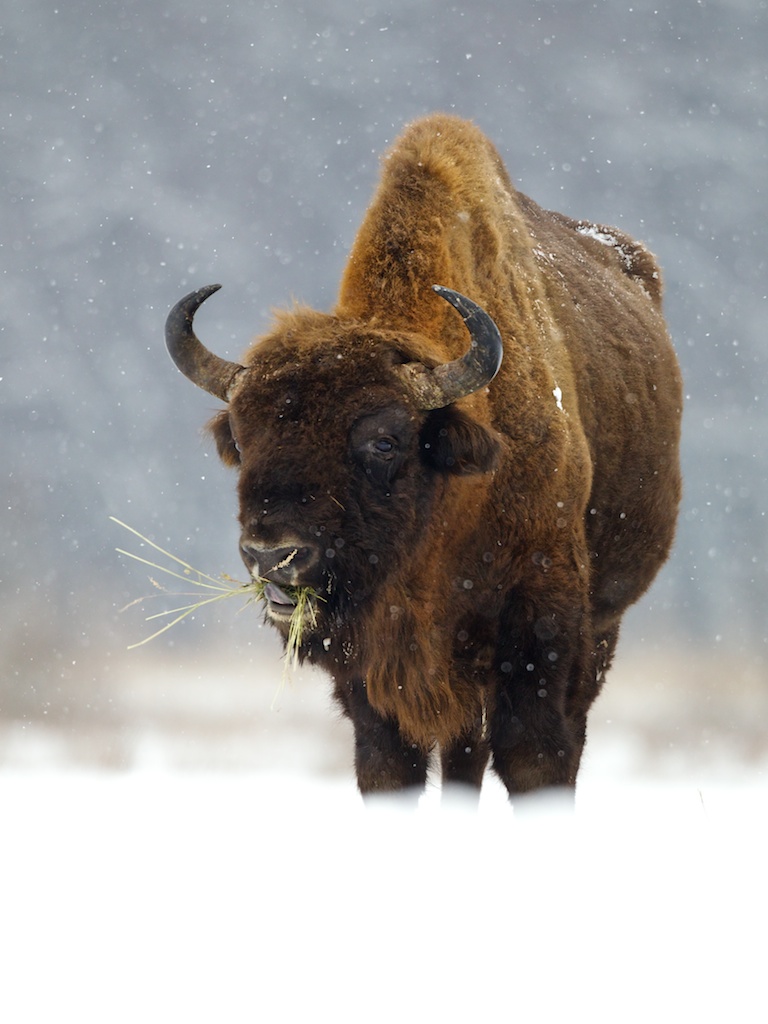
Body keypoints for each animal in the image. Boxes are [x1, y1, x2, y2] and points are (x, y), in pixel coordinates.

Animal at [165, 114, 682, 801]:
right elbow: (391, 765)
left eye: (385, 440)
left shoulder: (540, 628)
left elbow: (537, 759)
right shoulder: (372, 677)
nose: (272, 555)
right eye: (243, 442)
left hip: (601, 627)